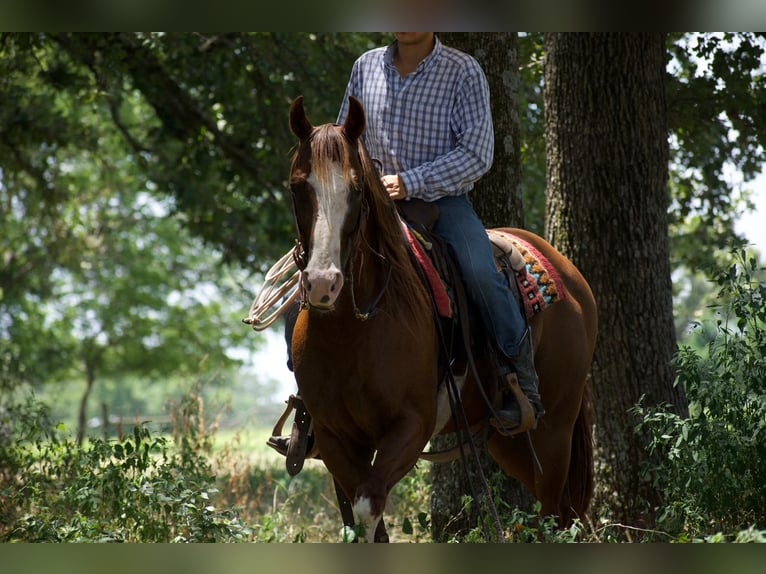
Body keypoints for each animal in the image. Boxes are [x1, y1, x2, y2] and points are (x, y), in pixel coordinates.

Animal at [286, 95, 598, 542]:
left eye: (358, 189)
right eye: (297, 187)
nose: (323, 284)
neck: (353, 332)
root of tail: (571, 275)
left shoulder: (411, 427)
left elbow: (367, 505)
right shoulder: (334, 437)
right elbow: (359, 521)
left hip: (555, 429)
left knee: (554, 515)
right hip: (508, 442)